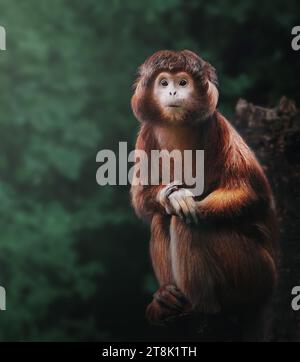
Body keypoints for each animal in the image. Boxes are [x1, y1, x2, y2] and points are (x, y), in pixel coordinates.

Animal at [130, 49, 278, 340]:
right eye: (164, 83)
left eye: (182, 82)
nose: (173, 92)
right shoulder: (147, 134)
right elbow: (142, 198)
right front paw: (173, 195)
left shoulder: (217, 128)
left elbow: (253, 194)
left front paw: (188, 202)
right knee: (161, 217)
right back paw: (166, 300)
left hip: (255, 273)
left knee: (186, 223)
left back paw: (200, 307)